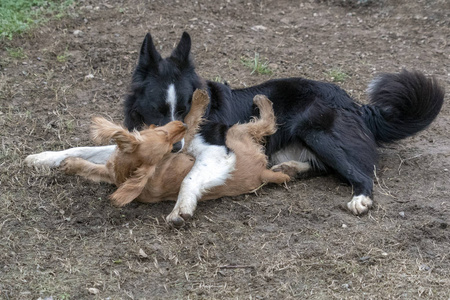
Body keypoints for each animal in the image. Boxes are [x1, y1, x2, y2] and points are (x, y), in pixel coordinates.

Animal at [61, 90, 290, 226]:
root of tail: (262, 172)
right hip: (236, 132)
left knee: (267, 125)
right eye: (164, 137)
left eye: (161, 131)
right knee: (266, 124)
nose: (181, 126)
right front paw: (70, 164)